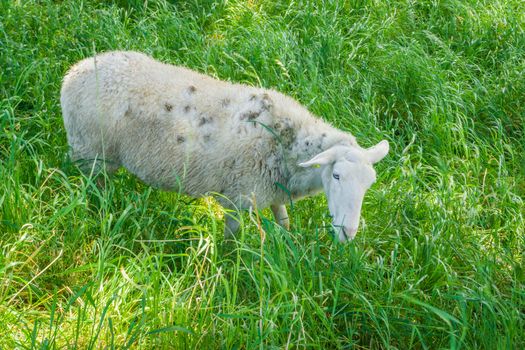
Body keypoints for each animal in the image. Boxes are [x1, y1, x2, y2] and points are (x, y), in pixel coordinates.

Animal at [62, 50, 388, 242]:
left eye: (369, 184)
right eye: (336, 176)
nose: (349, 233)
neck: (284, 143)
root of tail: (75, 70)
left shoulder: (273, 190)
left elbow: (283, 221)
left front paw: (288, 247)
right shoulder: (238, 197)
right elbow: (232, 239)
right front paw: (230, 265)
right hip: (90, 153)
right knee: (94, 191)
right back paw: (101, 217)